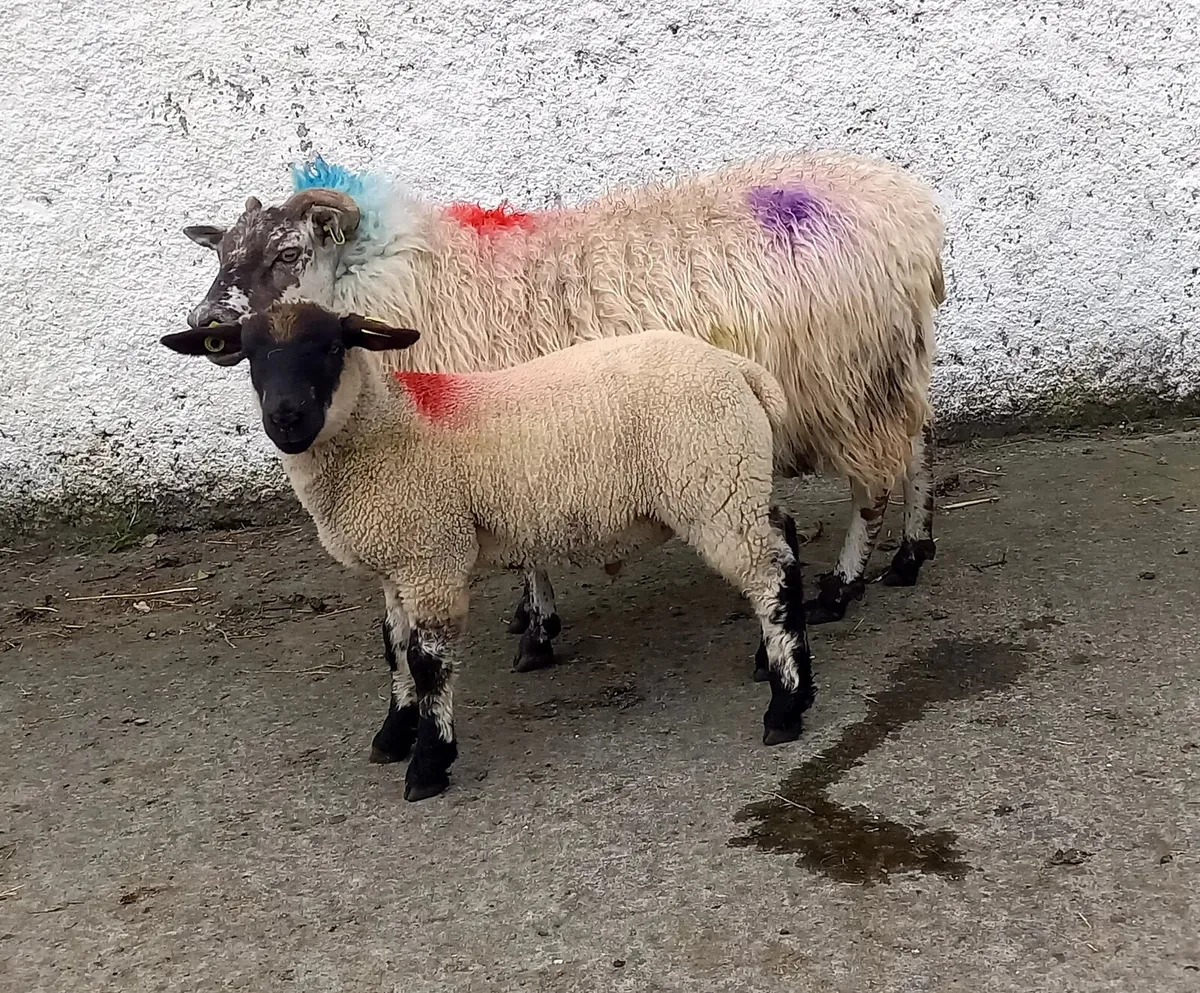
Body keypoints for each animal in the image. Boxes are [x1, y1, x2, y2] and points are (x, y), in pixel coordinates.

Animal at [160, 300, 819, 802]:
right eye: (250, 355)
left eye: (330, 348)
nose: (286, 417)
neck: (385, 429)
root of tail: (738, 368)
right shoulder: (395, 565)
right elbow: (392, 650)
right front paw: (393, 733)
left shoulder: (430, 556)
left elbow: (427, 662)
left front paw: (428, 764)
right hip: (735, 484)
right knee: (782, 541)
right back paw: (771, 662)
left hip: (712, 484)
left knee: (768, 578)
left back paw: (786, 707)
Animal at [181, 151, 944, 677]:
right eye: (222, 254)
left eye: (288, 251)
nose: (207, 323)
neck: (416, 284)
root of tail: (908, 206)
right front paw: (531, 617)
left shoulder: (500, 436)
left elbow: (527, 555)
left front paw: (539, 628)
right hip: (892, 360)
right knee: (917, 444)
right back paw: (913, 553)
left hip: (849, 379)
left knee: (874, 481)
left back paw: (844, 583)